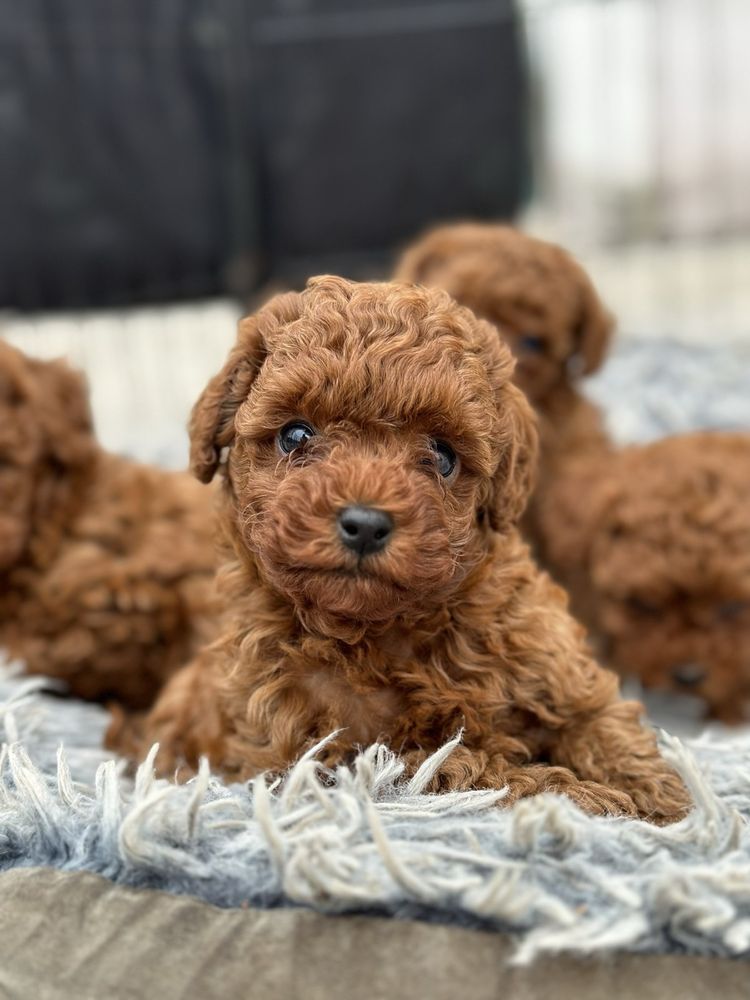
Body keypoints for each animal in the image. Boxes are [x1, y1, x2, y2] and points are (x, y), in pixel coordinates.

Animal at [137, 274, 692, 820]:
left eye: (443, 456)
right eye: (295, 436)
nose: (365, 524)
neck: (389, 630)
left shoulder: (552, 662)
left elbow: (600, 722)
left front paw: (659, 797)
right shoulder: (338, 762)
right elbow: (484, 771)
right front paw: (591, 799)